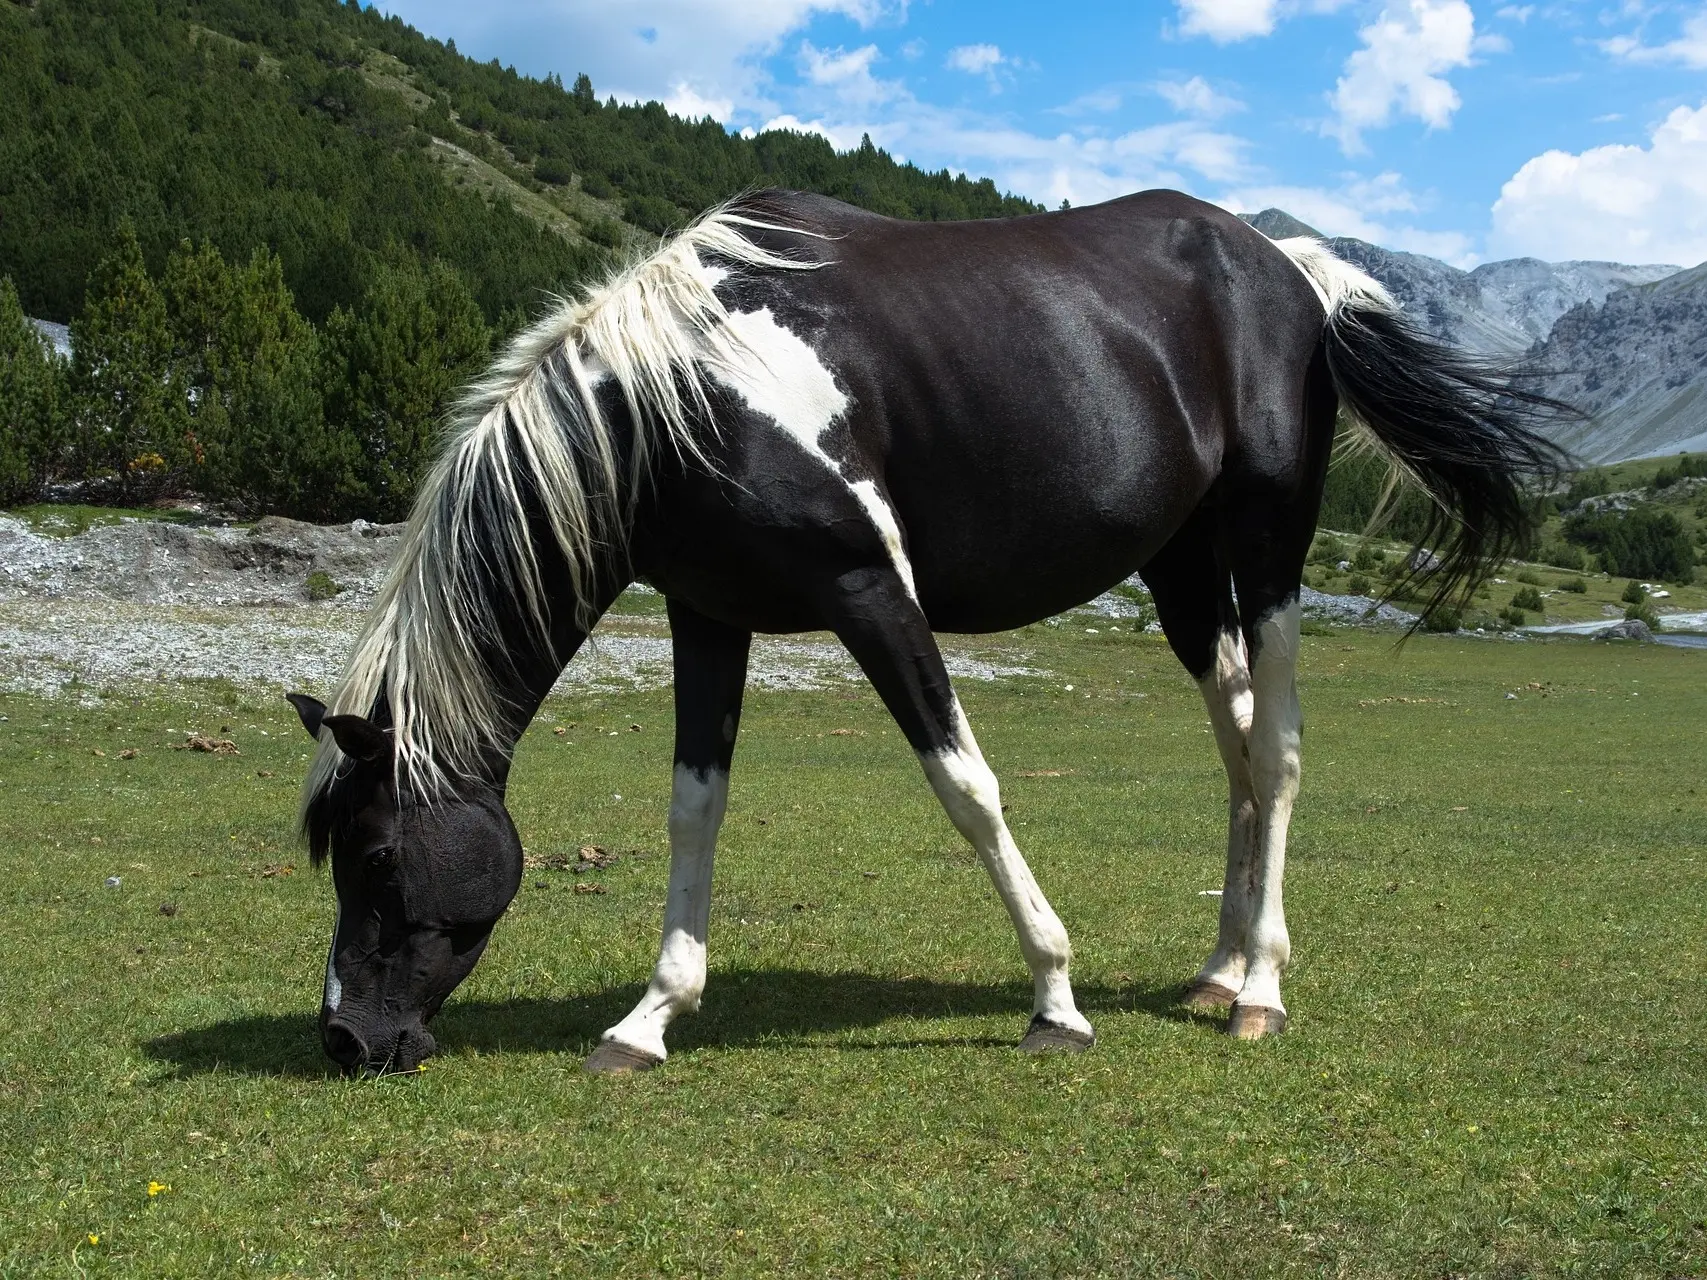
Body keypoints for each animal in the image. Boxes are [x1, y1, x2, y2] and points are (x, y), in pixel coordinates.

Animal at [283, 187, 1563, 1071]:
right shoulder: (709, 613)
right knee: (1241, 749)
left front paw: (1055, 997)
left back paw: (1262, 991)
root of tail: (1286, 265)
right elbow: (695, 807)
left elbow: (968, 784)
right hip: (1186, 577)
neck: (684, 396)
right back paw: (1218, 966)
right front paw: (650, 1017)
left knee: (1282, 750)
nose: (346, 1038)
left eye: (377, 855)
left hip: (1268, 547)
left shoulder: (868, 589)